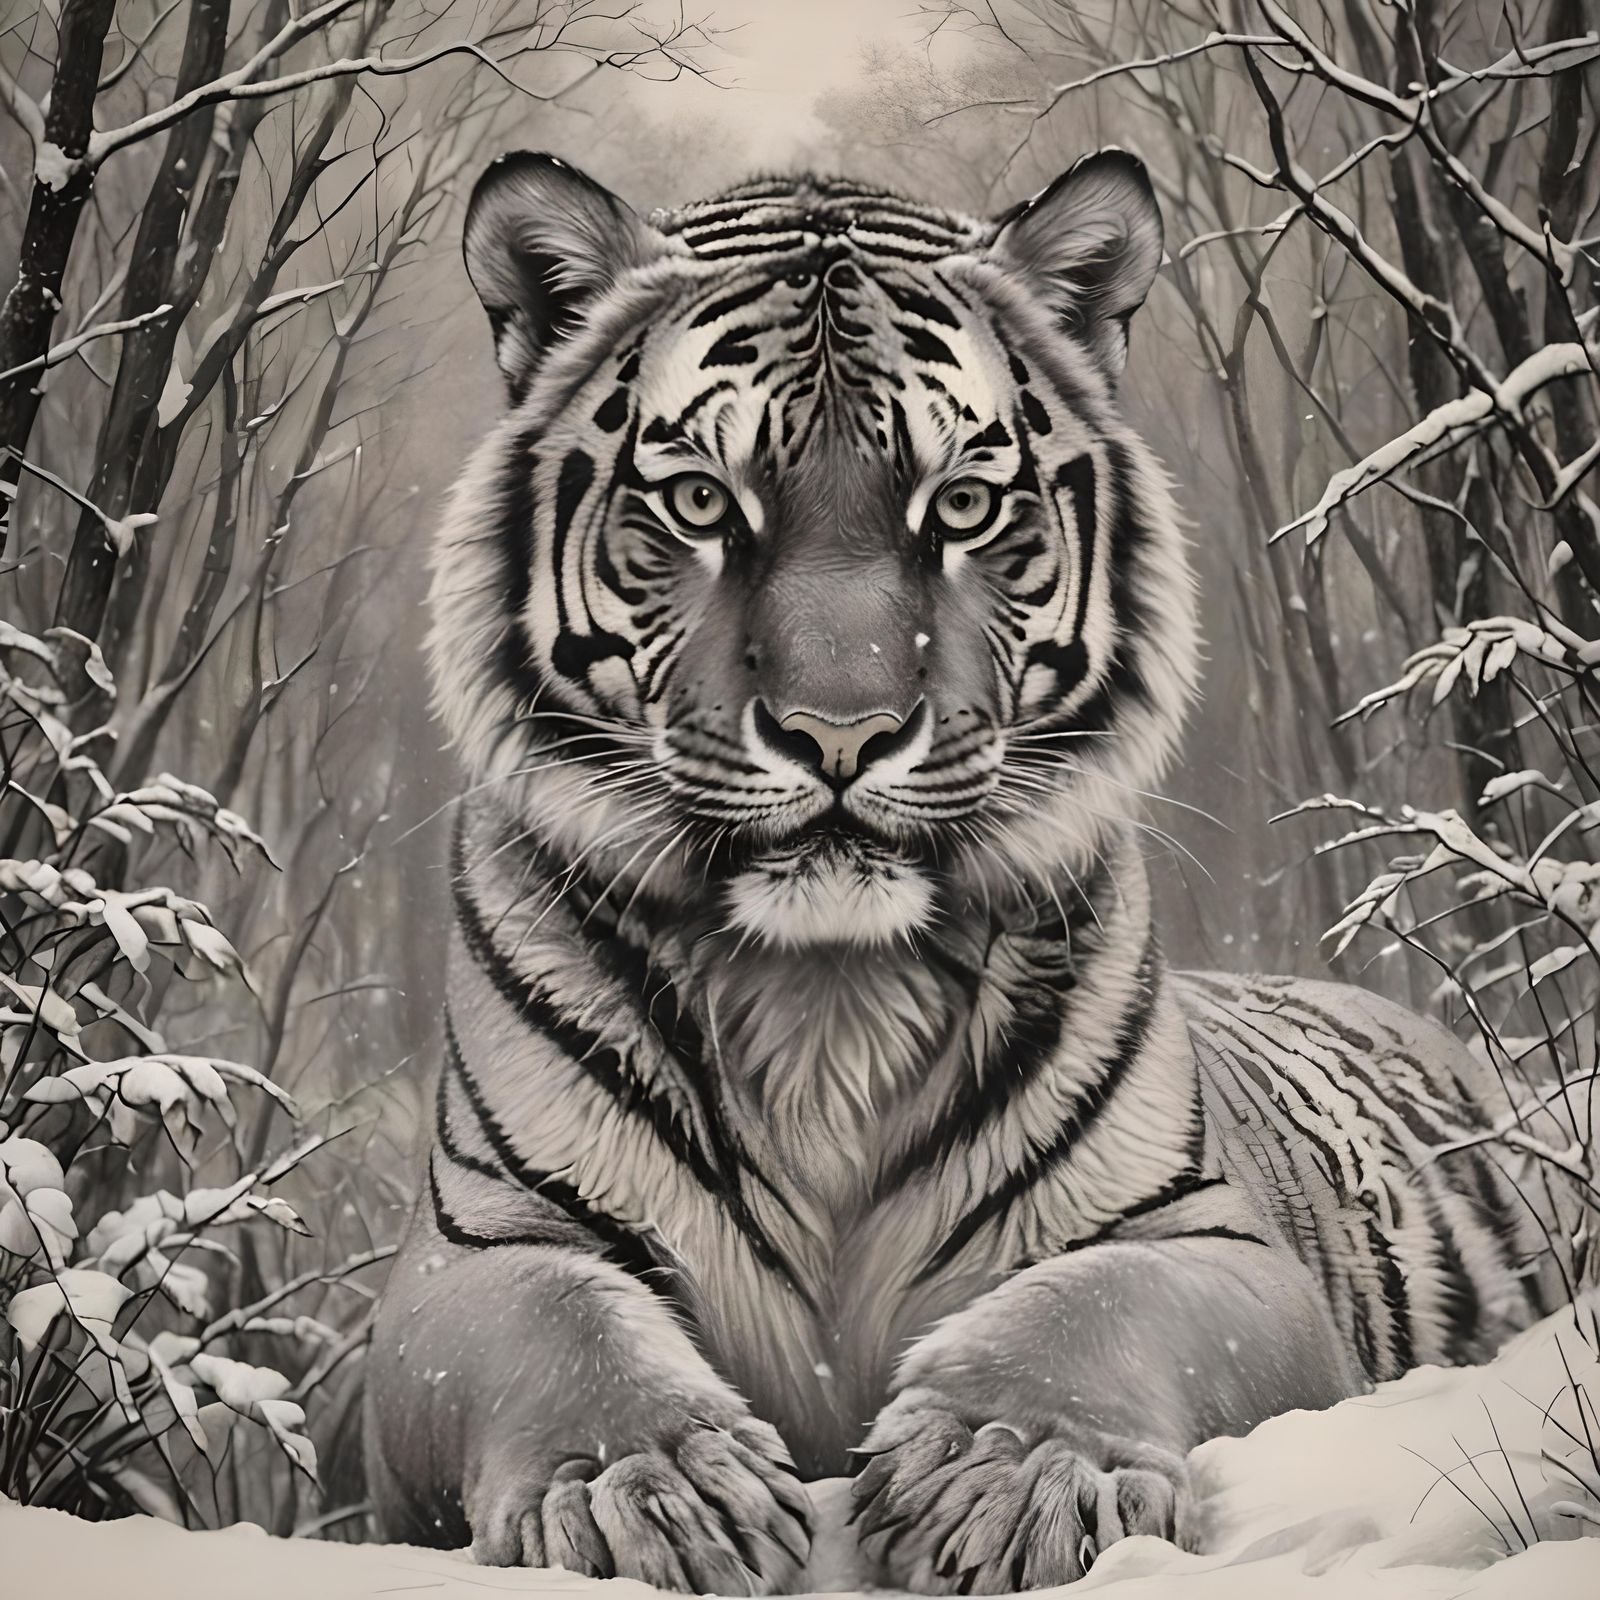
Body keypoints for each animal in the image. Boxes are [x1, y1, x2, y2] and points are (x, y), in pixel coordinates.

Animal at [362, 150, 1553, 1594]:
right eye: (701, 502)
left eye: (964, 507)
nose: (840, 732)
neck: (820, 998)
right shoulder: (477, 1248)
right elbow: (560, 1329)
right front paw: (649, 1489)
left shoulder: (1203, 1235)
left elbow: (1089, 1308)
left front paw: (1007, 1467)